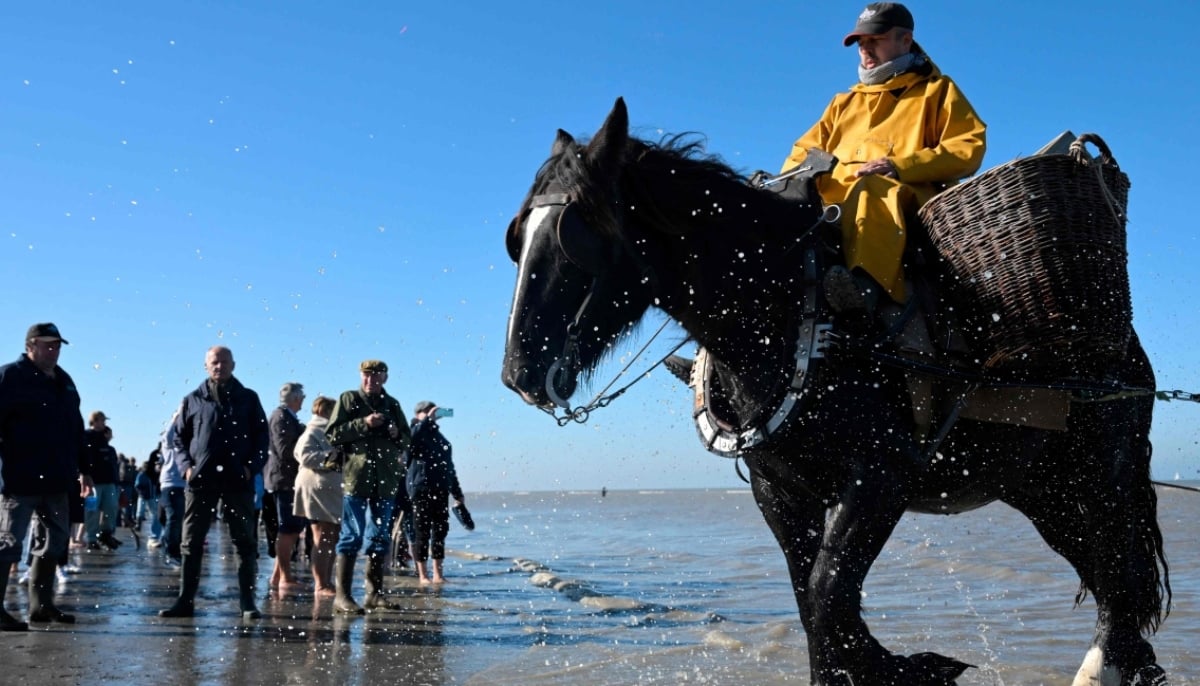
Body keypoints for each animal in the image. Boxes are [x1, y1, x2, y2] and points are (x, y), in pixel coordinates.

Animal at [501, 98, 1166, 681]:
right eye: (519, 238)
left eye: (574, 236)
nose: (518, 373)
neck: (790, 316)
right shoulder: (779, 491)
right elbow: (812, 606)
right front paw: (892, 666)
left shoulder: (880, 476)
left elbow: (827, 594)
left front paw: (907, 667)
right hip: (1041, 489)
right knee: (1109, 579)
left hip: (1099, 473)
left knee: (1121, 576)